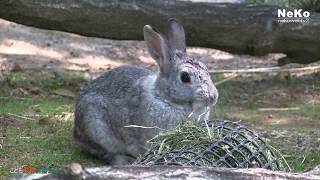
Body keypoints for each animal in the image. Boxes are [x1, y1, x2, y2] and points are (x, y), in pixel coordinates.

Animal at [73, 19, 218, 165]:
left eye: (206, 68)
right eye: (185, 77)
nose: (213, 97)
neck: (163, 97)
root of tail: (76, 132)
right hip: (96, 127)